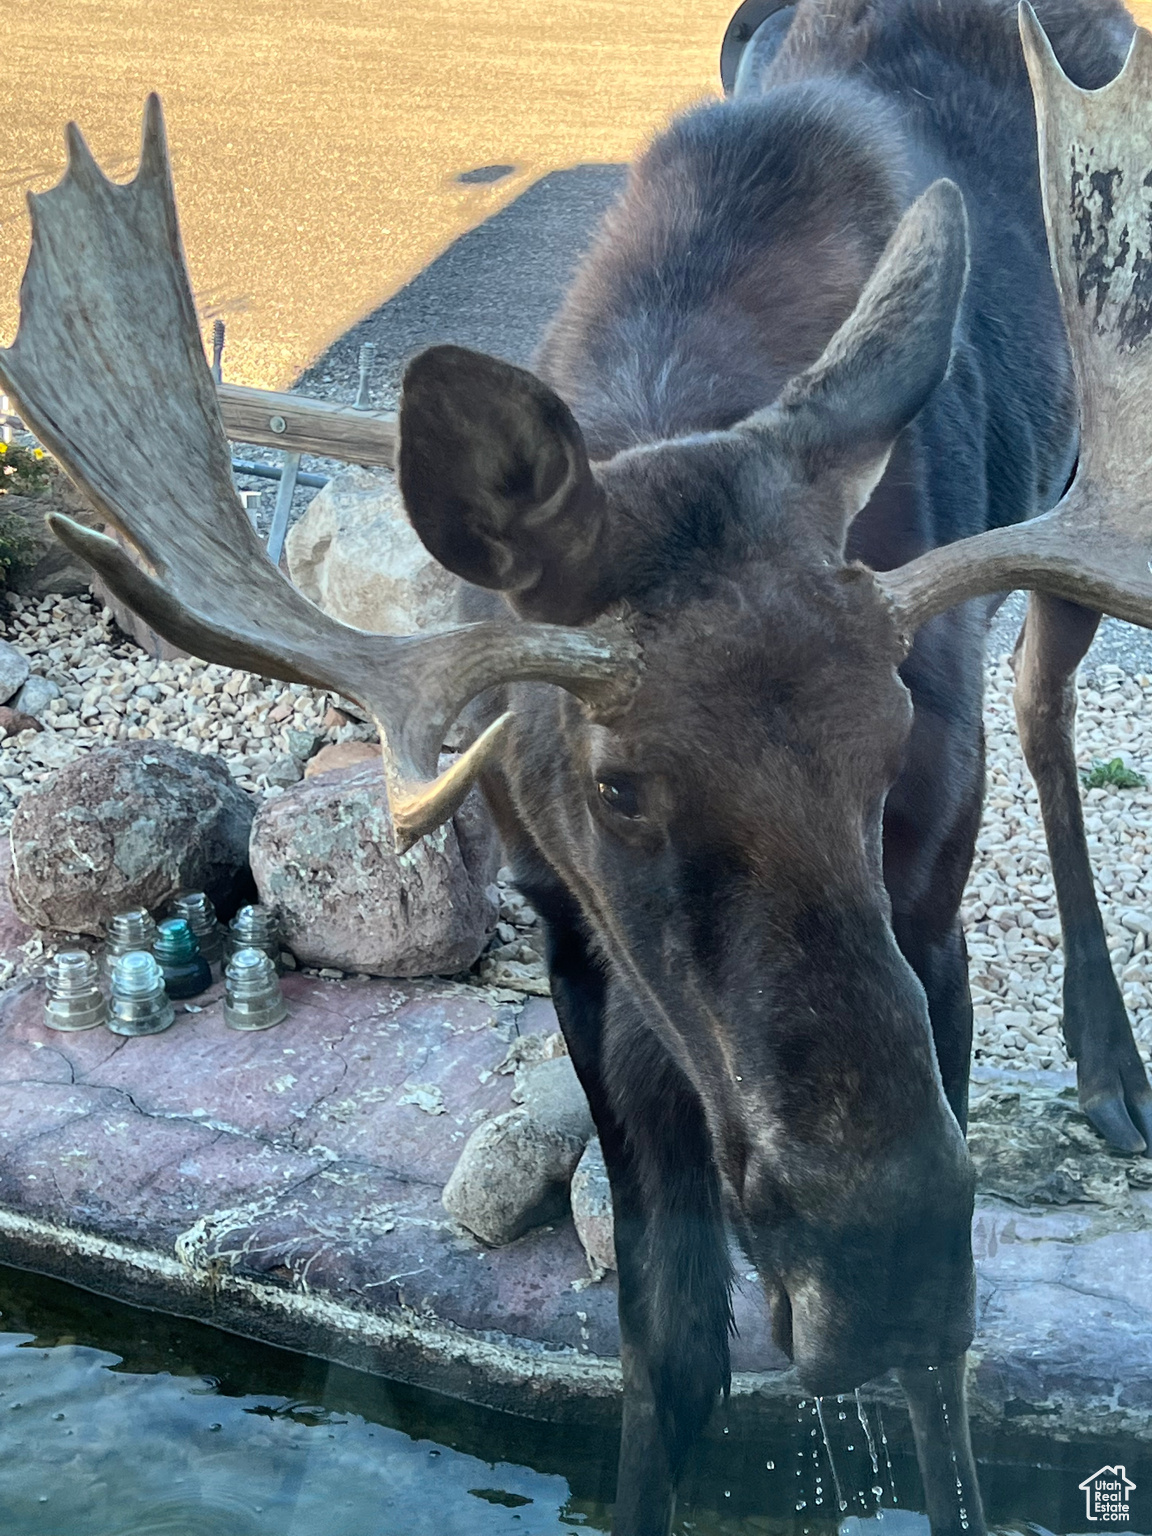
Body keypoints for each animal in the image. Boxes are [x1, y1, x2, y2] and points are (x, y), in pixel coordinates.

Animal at [2, 3, 1152, 1536]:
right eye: (616, 784)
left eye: (889, 735)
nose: (878, 1274)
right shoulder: (574, 938)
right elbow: (663, 1358)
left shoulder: (932, 901)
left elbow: (942, 1395)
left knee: (1043, 698)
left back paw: (1111, 1064)